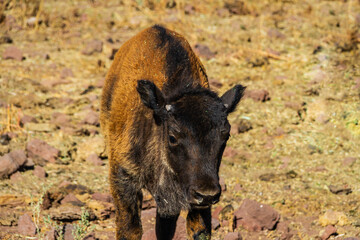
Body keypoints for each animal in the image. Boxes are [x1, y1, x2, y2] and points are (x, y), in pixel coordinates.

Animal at [100, 25, 245, 239]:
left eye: (225, 135)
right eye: (173, 137)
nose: (207, 194)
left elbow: (198, 230)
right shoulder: (124, 178)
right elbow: (130, 230)